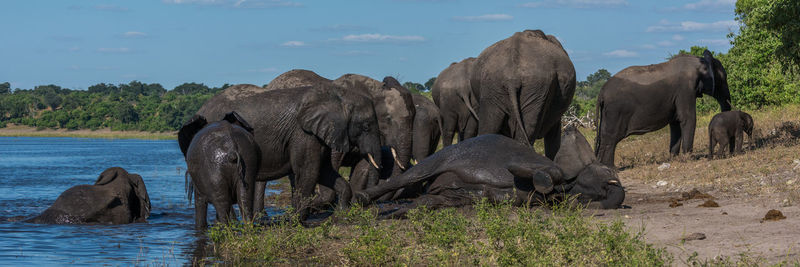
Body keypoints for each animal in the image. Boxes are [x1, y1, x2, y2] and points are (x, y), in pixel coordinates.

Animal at [356, 126, 624, 219]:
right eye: (605, 170)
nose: (616, 184)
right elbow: (545, 170)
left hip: (444, 196)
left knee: (426, 201)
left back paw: (391, 214)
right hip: (440, 158)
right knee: (409, 177)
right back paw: (361, 200)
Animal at [592, 49, 732, 168]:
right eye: (723, 79)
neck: (699, 60)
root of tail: (601, 93)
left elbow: (676, 123)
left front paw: (674, 159)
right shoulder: (685, 89)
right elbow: (688, 118)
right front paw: (688, 159)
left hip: (608, 112)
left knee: (604, 136)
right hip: (615, 111)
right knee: (610, 137)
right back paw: (610, 168)